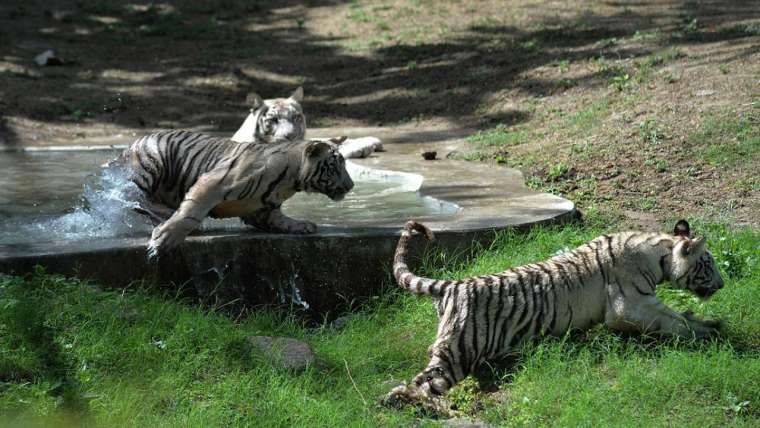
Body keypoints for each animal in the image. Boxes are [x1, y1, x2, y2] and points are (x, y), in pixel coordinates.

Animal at [116, 129, 354, 260]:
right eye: (335, 165)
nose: (351, 185)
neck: (290, 182)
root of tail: (131, 145)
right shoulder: (211, 183)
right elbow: (190, 212)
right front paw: (163, 240)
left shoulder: (262, 210)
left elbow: (281, 221)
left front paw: (303, 226)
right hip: (151, 165)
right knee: (130, 197)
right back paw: (162, 214)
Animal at [386, 219, 724, 412]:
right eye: (707, 263)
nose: (722, 285)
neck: (659, 254)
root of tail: (452, 286)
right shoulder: (630, 307)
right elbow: (672, 320)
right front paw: (707, 332)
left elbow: (679, 314)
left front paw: (708, 321)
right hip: (459, 352)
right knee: (414, 388)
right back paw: (434, 409)